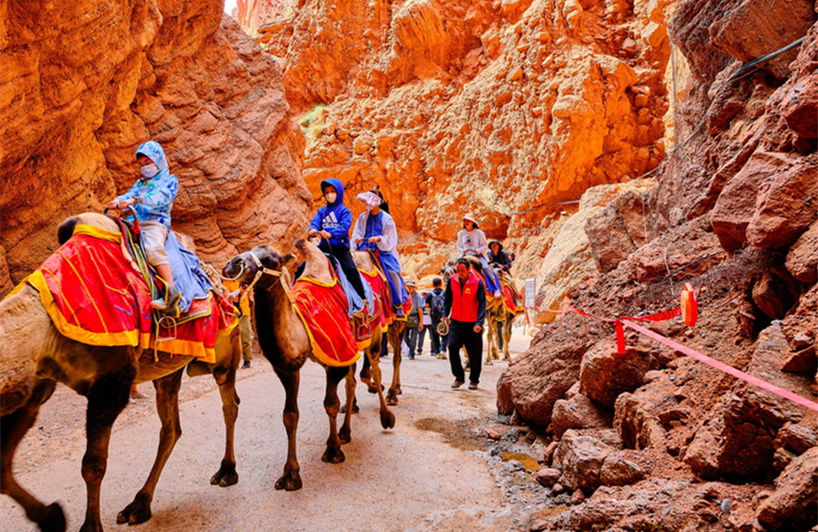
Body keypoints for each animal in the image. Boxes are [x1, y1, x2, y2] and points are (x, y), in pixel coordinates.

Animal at [0, 214, 241, 532]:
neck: (45, 326)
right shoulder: (36, 387)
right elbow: (2, 468)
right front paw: (51, 517)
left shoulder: (111, 384)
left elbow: (93, 465)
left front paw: (90, 526)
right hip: (169, 366)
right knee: (171, 428)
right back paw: (139, 506)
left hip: (225, 344)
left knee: (229, 403)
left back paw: (226, 471)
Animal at [220, 240, 392, 490]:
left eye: (270, 259)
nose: (233, 264)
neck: (301, 327)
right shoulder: (290, 368)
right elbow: (290, 416)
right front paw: (291, 474)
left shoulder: (336, 358)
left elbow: (331, 404)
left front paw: (333, 451)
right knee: (352, 383)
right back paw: (345, 431)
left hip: (376, 334)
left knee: (376, 371)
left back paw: (386, 416)